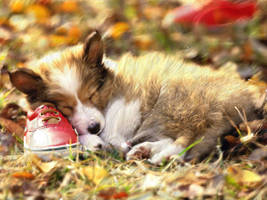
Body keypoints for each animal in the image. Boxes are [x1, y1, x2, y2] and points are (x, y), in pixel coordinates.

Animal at [9, 30, 266, 163]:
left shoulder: (129, 101)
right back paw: (144, 150)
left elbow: (114, 126)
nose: (94, 127)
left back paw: (160, 155)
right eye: (65, 107)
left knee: (190, 137)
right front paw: (90, 140)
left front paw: (100, 139)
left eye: (92, 94)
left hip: (177, 102)